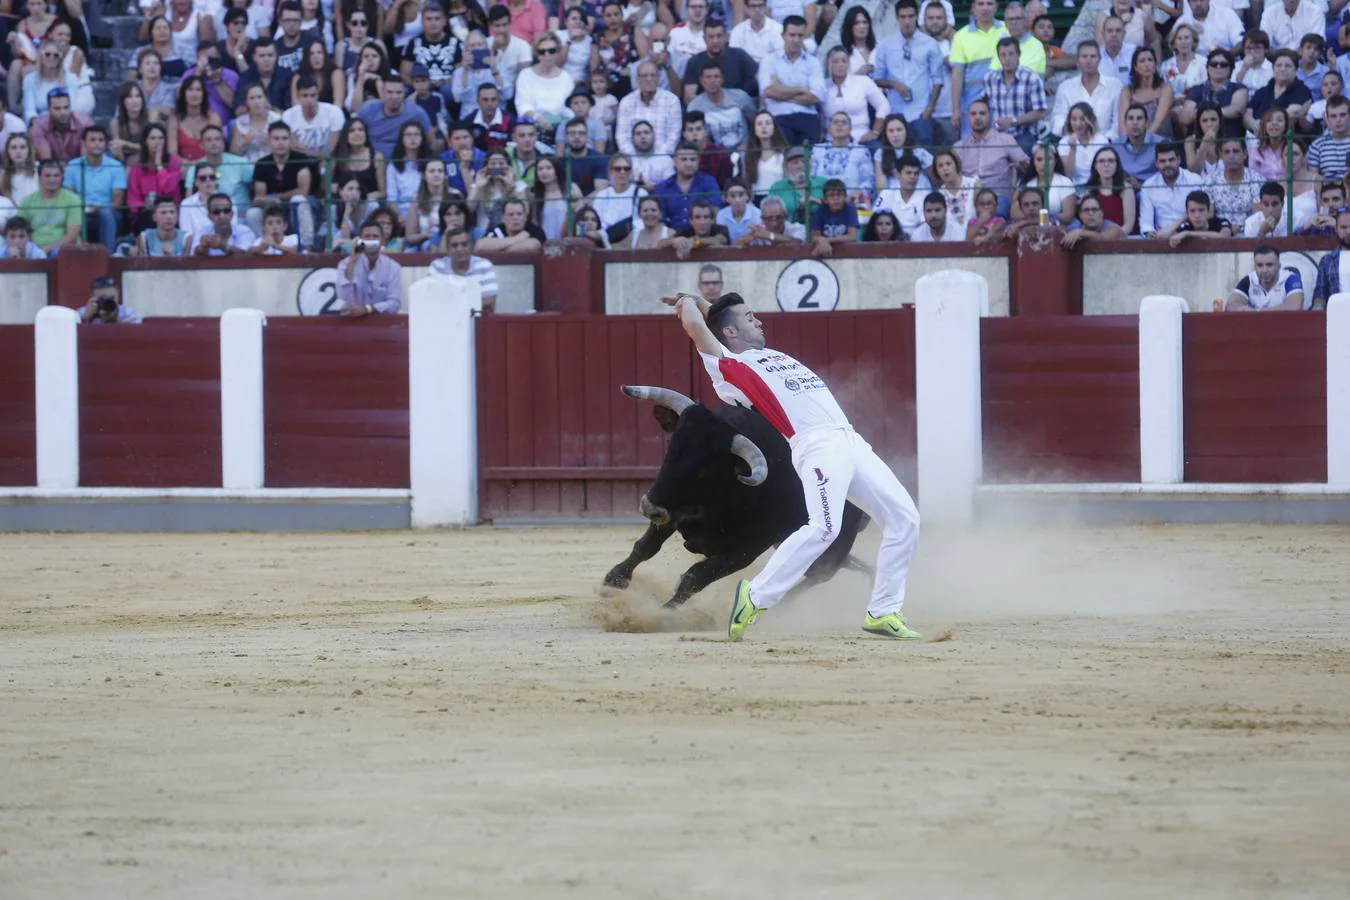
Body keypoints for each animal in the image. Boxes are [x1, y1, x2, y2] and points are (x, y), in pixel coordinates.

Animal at [604, 383, 874, 609]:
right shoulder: (673, 509)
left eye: (705, 468)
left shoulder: (744, 552)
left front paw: (666, 612)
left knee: (817, 575)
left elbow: (697, 576)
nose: (651, 507)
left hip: (830, 549)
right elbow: (646, 547)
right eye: (671, 447)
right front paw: (613, 580)